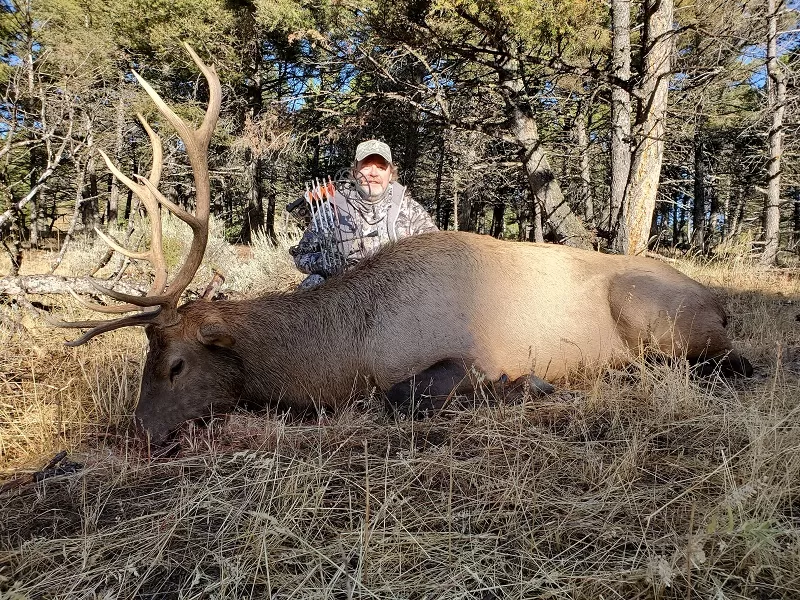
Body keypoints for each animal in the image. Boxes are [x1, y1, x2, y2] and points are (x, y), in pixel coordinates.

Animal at [56, 47, 752, 442]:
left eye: (175, 364)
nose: (136, 434)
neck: (345, 354)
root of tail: (719, 300)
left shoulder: (464, 355)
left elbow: (403, 398)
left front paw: (530, 387)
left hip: (657, 318)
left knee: (735, 364)